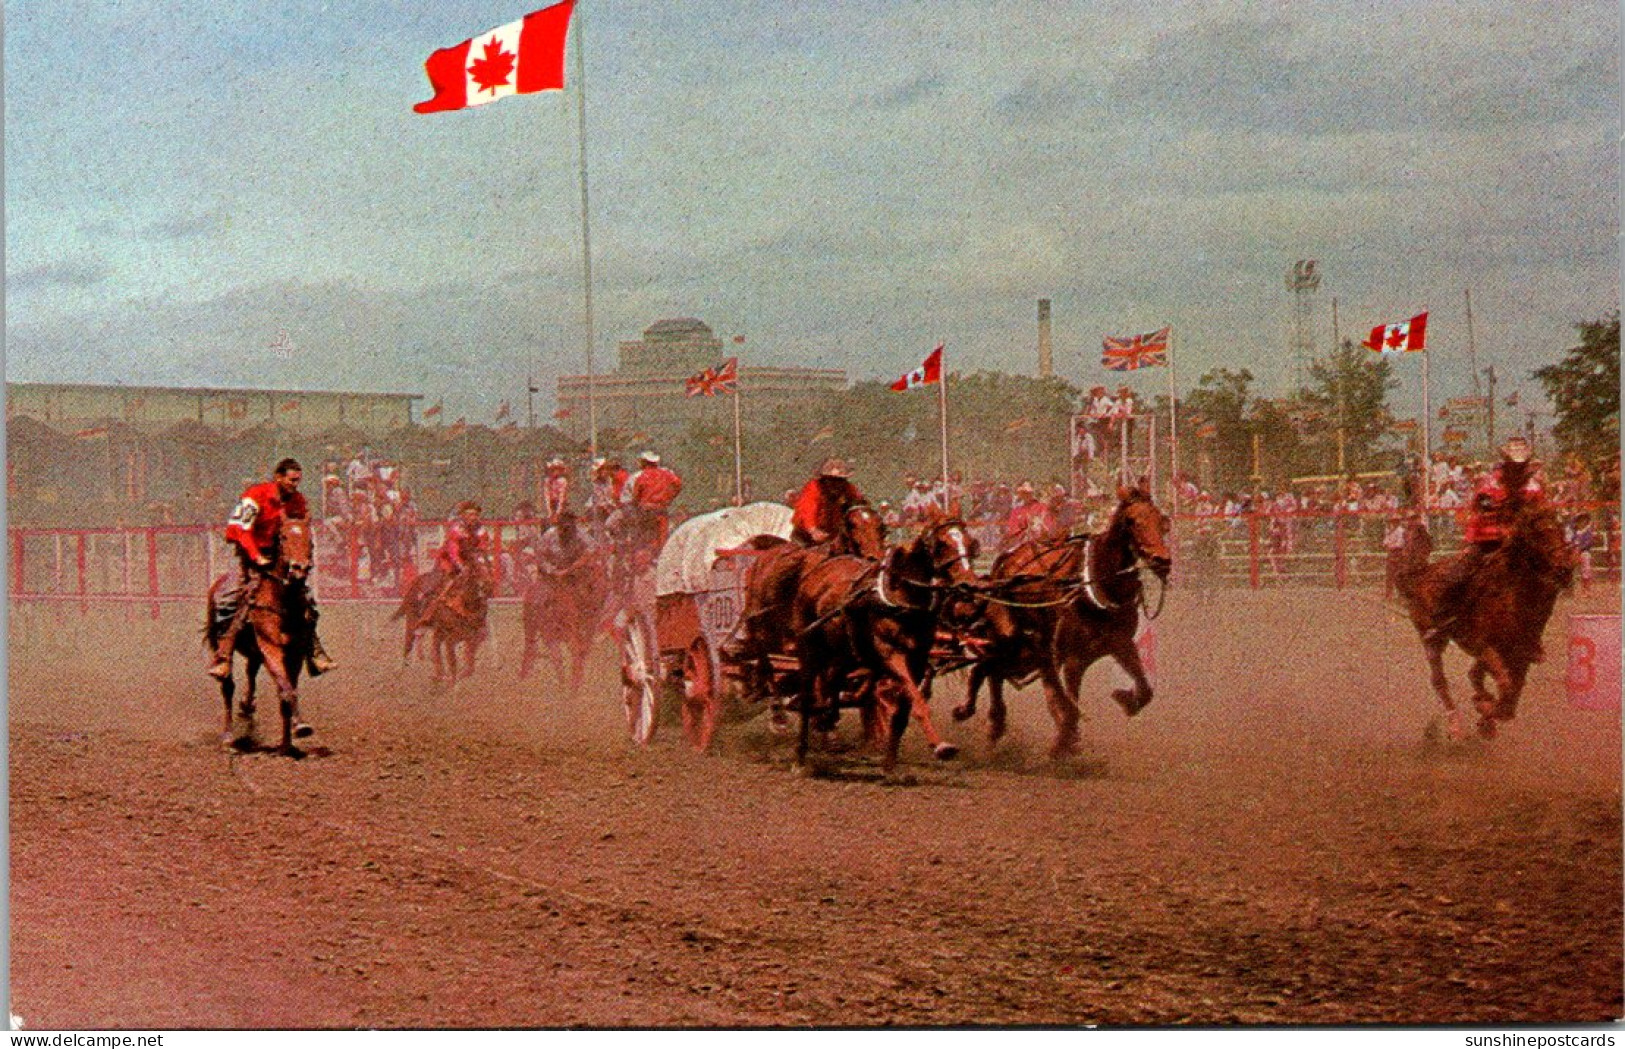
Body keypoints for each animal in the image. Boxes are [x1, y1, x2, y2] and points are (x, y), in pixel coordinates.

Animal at [203, 516, 316, 756]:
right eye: (283, 537)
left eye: (310, 538)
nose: (299, 568)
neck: (283, 604)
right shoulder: (271, 649)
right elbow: (285, 689)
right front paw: (300, 727)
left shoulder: (295, 654)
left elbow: (288, 690)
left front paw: (287, 744)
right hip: (221, 644)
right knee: (227, 686)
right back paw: (228, 738)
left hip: (254, 652)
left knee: (250, 673)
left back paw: (247, 706)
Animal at [786, 516, 975, 772]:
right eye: (942, 544)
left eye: (969, 541)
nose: (968, 585)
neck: (902, 599)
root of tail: (815, 573)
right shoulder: (891, 655)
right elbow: (917, 701)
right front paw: (941, 747)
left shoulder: (918, 659)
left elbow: (904, 709)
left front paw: (890, 764)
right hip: (809, 649)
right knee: (807, 696)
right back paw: (800, 755)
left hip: (846, 653)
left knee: (832, 683)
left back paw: (827, 717)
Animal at [949, 490, 1170, 759]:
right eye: (1132, 521)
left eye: (1162, 521)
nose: (1162, 560)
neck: (1094, 587)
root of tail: (1004, 562)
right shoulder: (1074, 658)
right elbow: (1071, 707)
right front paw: (1062, 743)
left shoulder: (1121, 645)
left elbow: (1145, 689)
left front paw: (1125, 699)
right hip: (1011, 640)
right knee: (989, 670)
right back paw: (978, 716)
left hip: (1030, 649)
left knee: (995, 670)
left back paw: (993, 724)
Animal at [1397, 506, 1573, 743]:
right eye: (1537, 533)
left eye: (1560, 529)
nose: (1565, 569)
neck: (1512, 598)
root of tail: (1422, 573)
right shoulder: (1483, 646)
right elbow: (1504, 686)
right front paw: (1485, 713)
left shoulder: (1520, 655)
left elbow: (1509, 695)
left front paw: (1486, 714)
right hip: (1432, 639)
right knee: (1439, 680)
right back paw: (1456, 727)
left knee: (1474, 676)